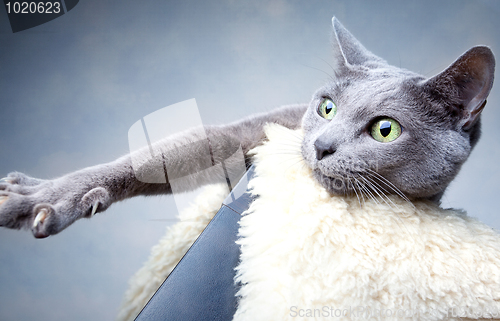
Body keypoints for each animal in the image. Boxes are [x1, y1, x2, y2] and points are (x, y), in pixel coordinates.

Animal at [0, 18, 494, 238]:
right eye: (327, 107)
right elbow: (158, 158)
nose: (322, 145)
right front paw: (37, 199)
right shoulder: (256, 133)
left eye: (385, 130)